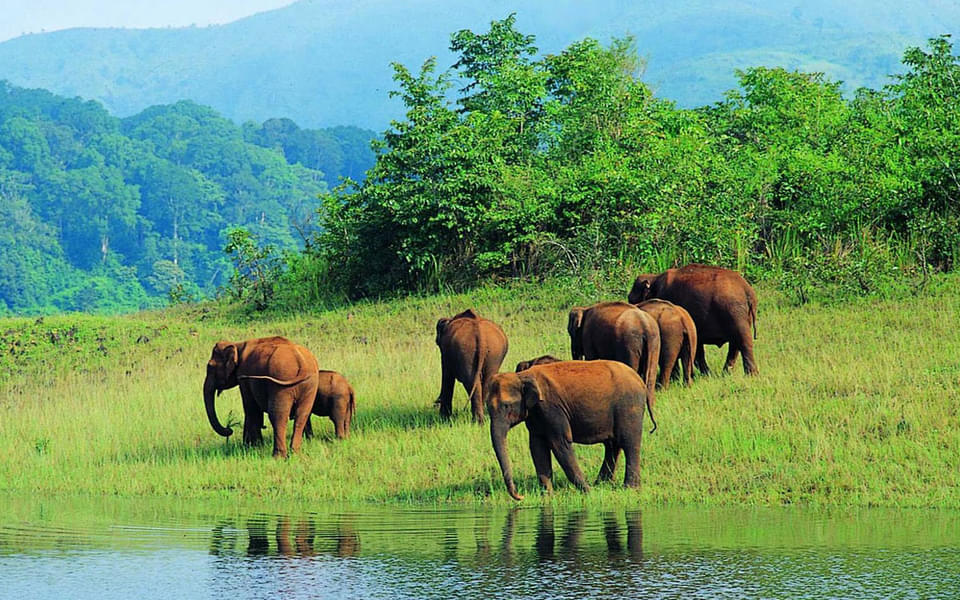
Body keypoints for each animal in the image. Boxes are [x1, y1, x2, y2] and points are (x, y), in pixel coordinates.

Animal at [568, 300, 660, 432]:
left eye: (570, 332)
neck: (585, 308)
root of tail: (645, 326)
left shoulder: (587, 336)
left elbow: (591, 358)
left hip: (629, 343)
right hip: (654, 343)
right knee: (651, 379)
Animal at [628, 264, 760, 376]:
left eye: (631, 299)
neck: (654, 278)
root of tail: (748, 291)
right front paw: (707, 375)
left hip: (735, 313)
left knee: (743, 341)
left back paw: (751, 375)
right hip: (740, 315)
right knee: (735, 345)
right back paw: (726, 374)